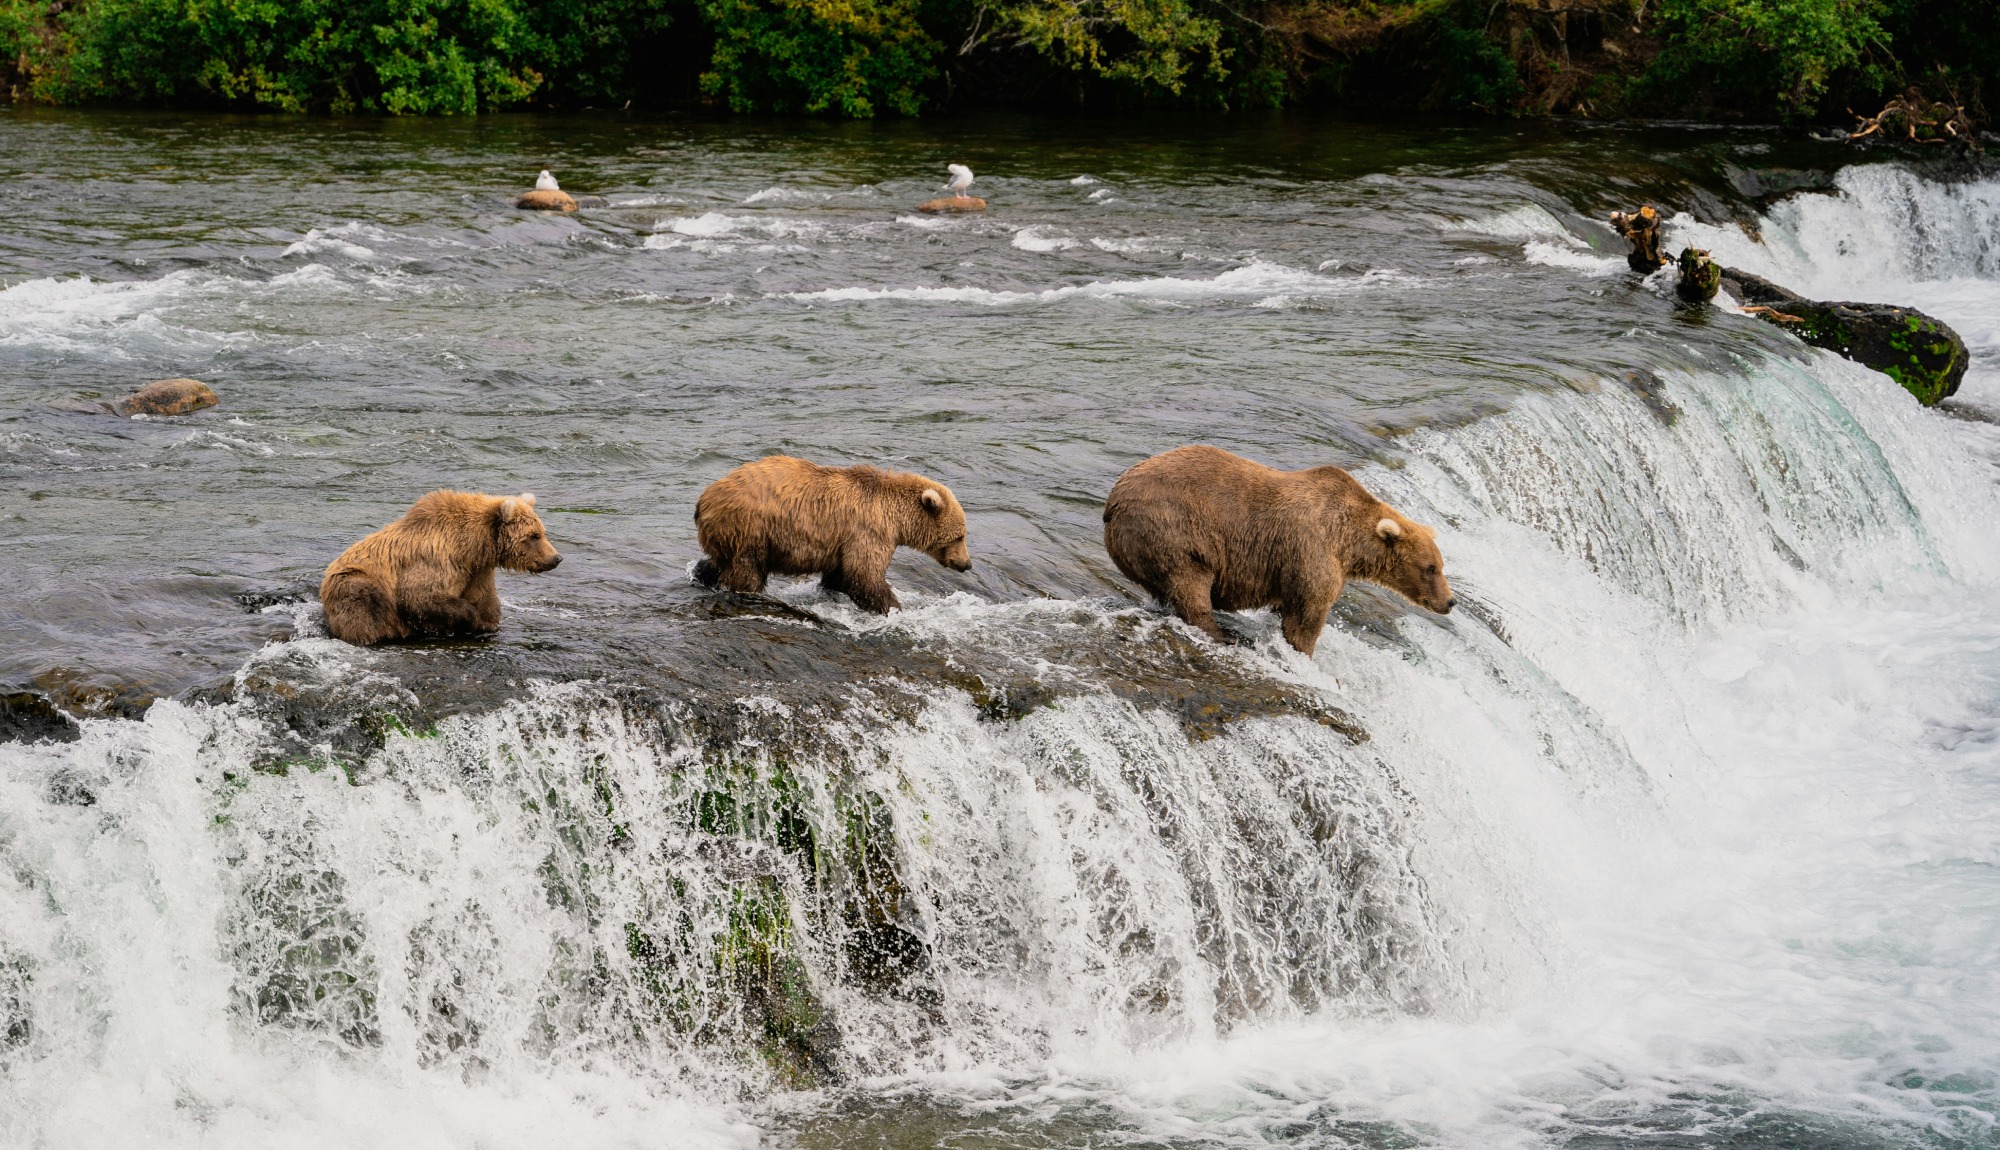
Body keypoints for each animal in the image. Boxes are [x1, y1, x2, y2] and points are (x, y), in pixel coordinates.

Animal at [319, 490, 561, 646]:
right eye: (534, 536)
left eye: (542, 532)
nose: (556, 557)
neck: (472, 546)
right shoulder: (437, 559)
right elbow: (419, 596)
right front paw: (470, 616)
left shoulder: (477, 571)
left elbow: (486, 602)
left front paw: (485, 623)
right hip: (355, 582)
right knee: (364, 607)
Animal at [692, 455, 971, 614]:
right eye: (959, 536)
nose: (966, 564)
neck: (895, 517)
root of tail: (704, 498)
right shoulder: (868, 532)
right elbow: (865, 575)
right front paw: (894, 607)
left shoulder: (844, 542)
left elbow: (841, 575)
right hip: (750, 527)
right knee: (747, 569)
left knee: (721, 562)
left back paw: (703, 574)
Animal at [1102, 445, 1453, 656]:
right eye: (1430, 568)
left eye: (1440, 565)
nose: (1450, 601)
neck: (1350, 544)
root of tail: (1112, 501)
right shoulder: (1311, 550)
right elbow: (1307, 615)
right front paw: (1304, 653)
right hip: (1174, 529)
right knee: (1189, 582)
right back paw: (1221, 634)